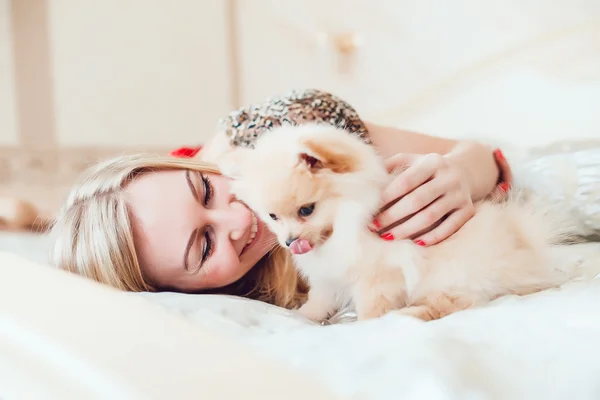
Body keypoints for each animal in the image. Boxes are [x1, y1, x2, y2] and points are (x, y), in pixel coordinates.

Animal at [219, 125, 576, 322]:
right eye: (272, 217)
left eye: (306, 210)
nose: (290, 242)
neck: (343, 227)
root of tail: (526, 245)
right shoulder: (329, 276)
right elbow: (320, 299)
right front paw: (306, 316)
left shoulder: (380, 274)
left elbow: (372, 304)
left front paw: (367, 324)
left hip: (454, 277)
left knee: (456, 303)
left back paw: (410, 314)